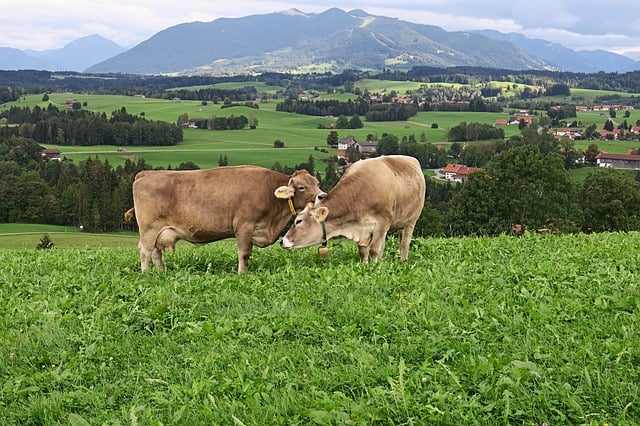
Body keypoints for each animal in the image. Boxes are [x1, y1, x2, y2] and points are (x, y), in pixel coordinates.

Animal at [126, 166, 323, 273]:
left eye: (317, 183)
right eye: (301, 187)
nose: (322, 195)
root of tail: (147, 174)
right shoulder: (244, 226)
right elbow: (244, 253)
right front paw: (242, 274)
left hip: (159, 231)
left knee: (156, 252)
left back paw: (161, 272)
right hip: (149, 229)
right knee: (145, 251)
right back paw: (146, 274)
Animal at [280, 155, 425, 262]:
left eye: (298, 221)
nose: (282, 241)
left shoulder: (382, 223)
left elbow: (374, 250)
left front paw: (375, 269)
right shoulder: (363, 228)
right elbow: (363, 251)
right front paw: (365, 266)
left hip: (411, 221)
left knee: (405, 242)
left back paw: (403, 261)